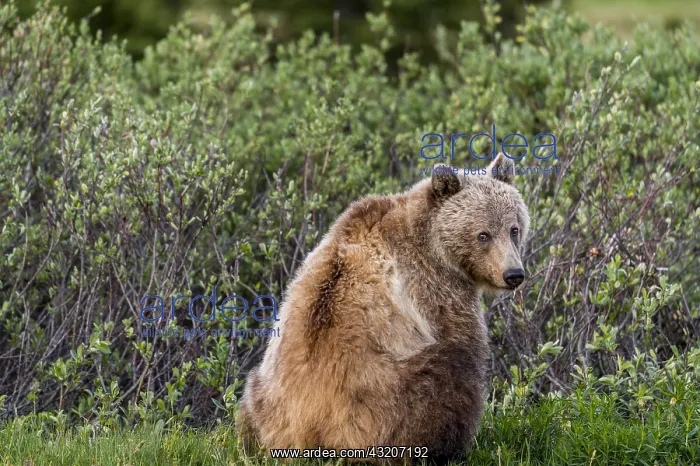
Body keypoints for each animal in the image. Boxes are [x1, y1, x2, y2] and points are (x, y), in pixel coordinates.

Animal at [238, 152, 530, 463]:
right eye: (483, 234)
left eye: (513, 229)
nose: (513, 274)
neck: (432, 244)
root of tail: (307, 429)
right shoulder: (435, 288)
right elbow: (463, 341)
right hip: (383, 405)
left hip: (264, 397)